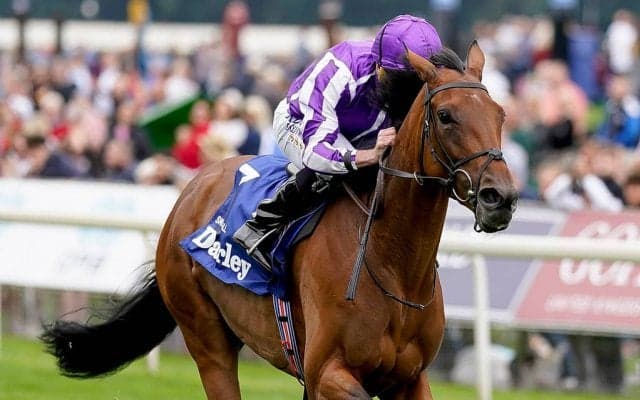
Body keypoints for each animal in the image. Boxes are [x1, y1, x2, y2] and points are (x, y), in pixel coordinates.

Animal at [41, 42, 517, 399]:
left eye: (500, 114)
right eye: (446, 116)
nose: (502, 197)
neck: (392, 265)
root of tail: (189, 194)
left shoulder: (409, 378)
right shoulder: (328, 371)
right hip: (206, 338)